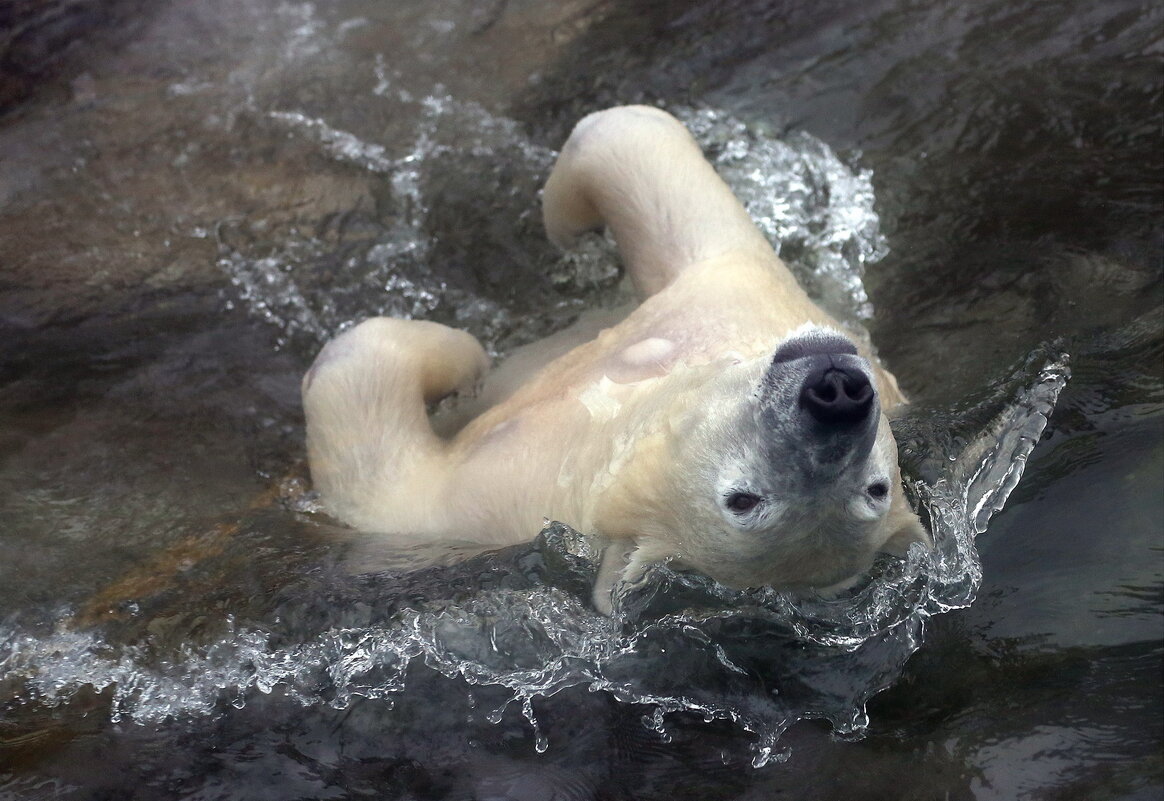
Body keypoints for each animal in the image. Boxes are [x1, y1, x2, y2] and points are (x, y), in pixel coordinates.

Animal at [300, 104, 926, 614]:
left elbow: (364, 411)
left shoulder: (467, 503)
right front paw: (571, 232)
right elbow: (630, 137)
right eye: (879, 488)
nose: (836, 395)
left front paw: (462, 365)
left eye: (741, 500)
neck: (603, 423)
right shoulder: (733, 295)